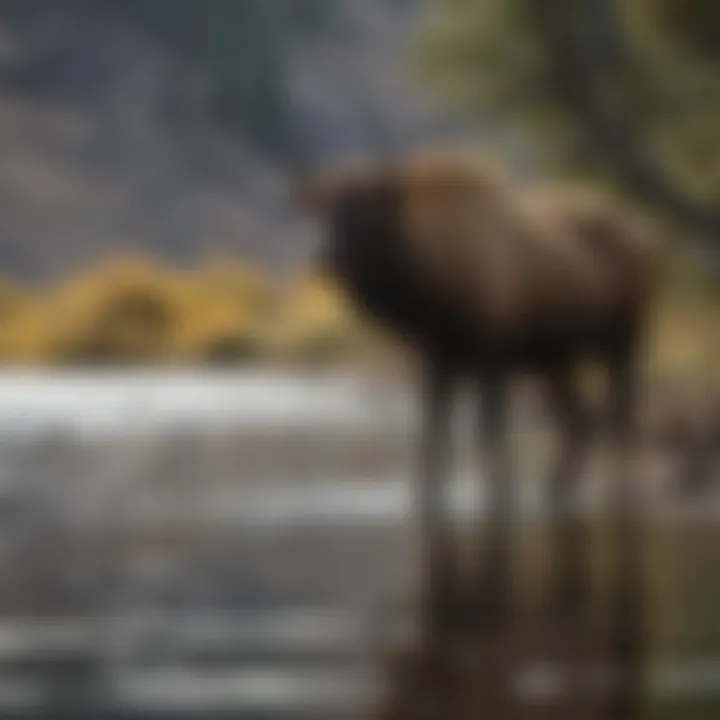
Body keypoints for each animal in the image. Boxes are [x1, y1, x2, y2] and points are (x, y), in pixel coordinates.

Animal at [294, 146, 660, 652]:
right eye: (325, 208)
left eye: (365, 208)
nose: (328, 255)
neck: (430, 277)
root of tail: (648, 240)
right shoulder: (439, 357)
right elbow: (433, 433)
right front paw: (425, 502)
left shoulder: (492, 353)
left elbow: (488, 431)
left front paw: (498, 502)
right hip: (557, 363)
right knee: (580, 422)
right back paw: (554, 490)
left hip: (621, 342)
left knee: (620, 417)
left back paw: (614, 491)